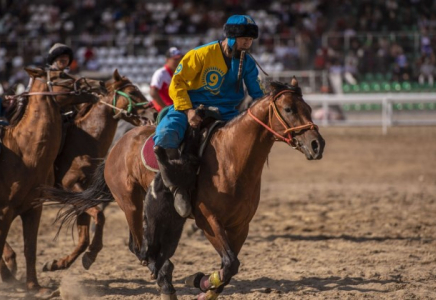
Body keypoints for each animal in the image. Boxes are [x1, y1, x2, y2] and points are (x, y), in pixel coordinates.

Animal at [0, 67, 105, 298]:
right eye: (61, 75)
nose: (99, 84)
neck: (23, 152)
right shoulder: (5, 210)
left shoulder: (33, 208)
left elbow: (30, 249)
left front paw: (35, 287)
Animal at [38, 69, 155, 274]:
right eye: (132, 92)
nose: (154, 111)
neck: (84, 139)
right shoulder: (70, 185)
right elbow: (99, 215)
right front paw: (91, 252)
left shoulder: (82, 192)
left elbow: (85, 232)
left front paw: (63, 262)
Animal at [45, 79, 324, 300]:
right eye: (288, 109)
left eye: (309, 109)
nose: (316, 144)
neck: (231, 158)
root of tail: (119, 145)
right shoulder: (208, 220)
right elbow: (229, 263)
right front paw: (198, 281)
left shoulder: (240, 227)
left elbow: (230, 268)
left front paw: (204, 286)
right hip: (130, 203)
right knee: (139, 247)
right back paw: (160, 277)